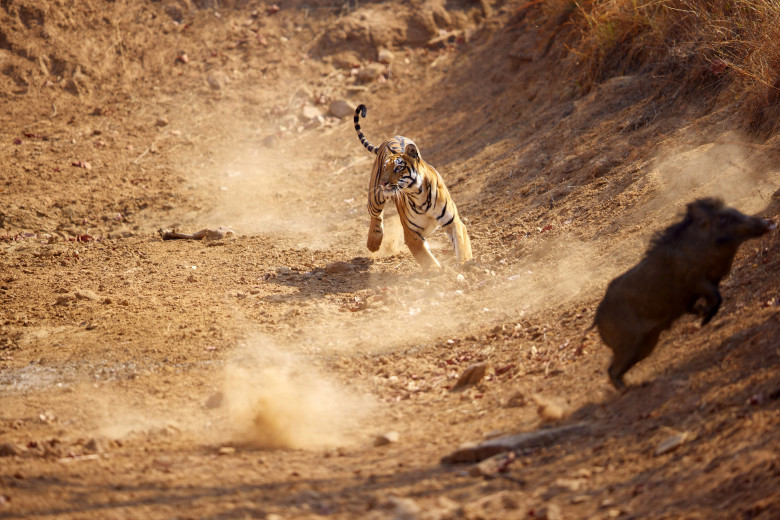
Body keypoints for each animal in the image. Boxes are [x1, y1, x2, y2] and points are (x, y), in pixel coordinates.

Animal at [354, 103, 476, 270]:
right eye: (386, 168)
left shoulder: (454, 223)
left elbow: (462, 248)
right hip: (375, 198)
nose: (383, 183)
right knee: (376, 216)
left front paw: (466, 265)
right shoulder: (411, 234)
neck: (419, 195)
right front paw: (438, 272)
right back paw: (373, 242)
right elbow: (427, 259)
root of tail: (390, 138)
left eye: (398, 168)